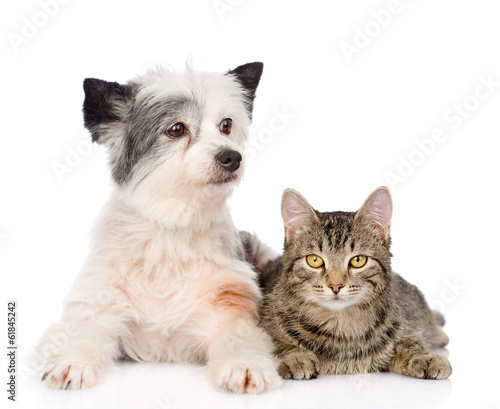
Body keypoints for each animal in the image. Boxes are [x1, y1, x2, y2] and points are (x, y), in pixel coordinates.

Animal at [36, 61, 282, 392]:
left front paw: (244, 365)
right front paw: (73, 360)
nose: (232, 157)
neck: (171, 229)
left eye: (226, 125)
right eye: (176, 129)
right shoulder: (99, 302)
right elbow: (83, 330)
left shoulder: (230, 307)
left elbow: (239, 338)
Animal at [260, 187, 452, 380]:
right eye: (314, 260)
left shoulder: (406, 326)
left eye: (358, 260)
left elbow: (409, 343)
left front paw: (424, 357)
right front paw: (295, 356)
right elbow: (275, 343)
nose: (335, 286)